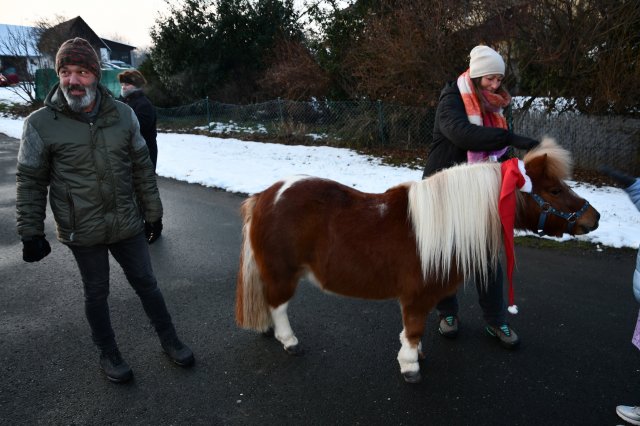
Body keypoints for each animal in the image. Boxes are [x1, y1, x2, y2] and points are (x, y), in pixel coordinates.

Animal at [234, 139, 600, 382]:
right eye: (554, 190)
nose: (594, 218)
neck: (449, 221)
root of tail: (264, 196)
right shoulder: (417, 295)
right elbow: (413, 329)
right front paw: (410, 364)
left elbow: (415, 329)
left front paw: (416, 355)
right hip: (283, 272)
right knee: (279, 305)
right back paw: (288, 340)